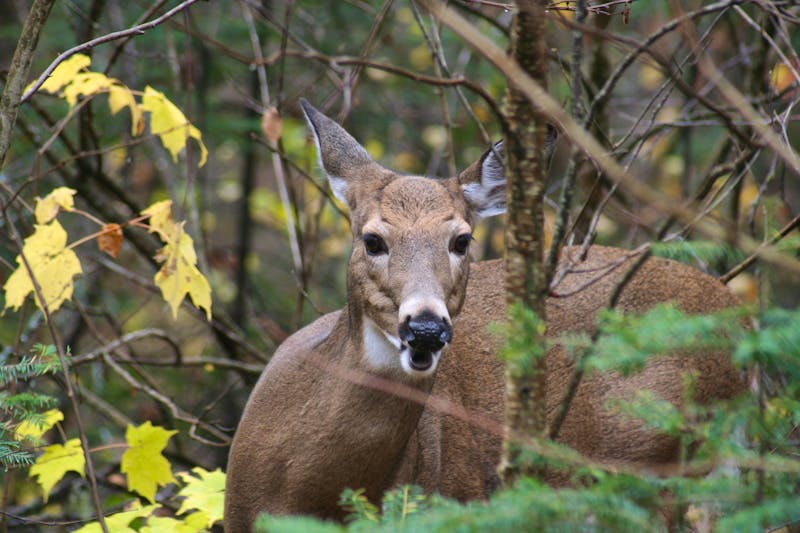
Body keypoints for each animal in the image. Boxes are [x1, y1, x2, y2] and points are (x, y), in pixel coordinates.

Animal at [224, 100, 744, 531]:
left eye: (461, 240)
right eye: (372, 240)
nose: (426, 329)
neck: (307, 494)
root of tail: (737, 311)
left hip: (655, 458)